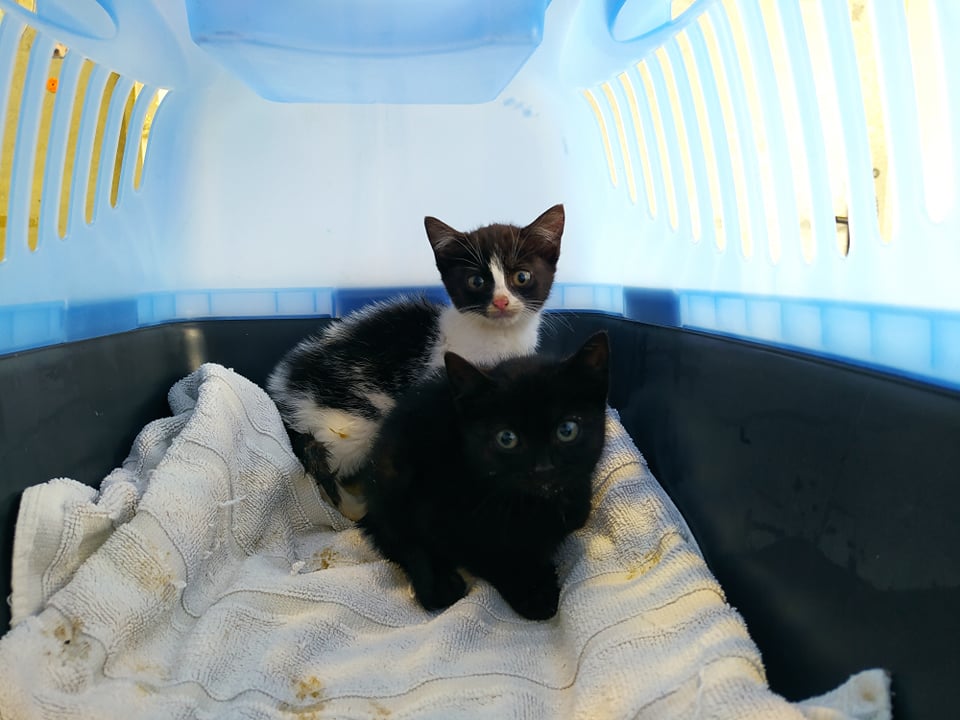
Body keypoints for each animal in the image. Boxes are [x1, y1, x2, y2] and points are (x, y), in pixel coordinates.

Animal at [267, 204, 565, 520]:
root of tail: (283, 391)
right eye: (476, 281)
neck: (498, 337)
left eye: (521, 277)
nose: (501, 302)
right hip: (351, 424)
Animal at [358, 331, 610, 620]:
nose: (543, 469)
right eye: (506, 438)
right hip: (393, 473)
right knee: (396, 537)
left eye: (567, 430)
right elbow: (489, 553)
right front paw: (534, 590)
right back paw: (439, 583)